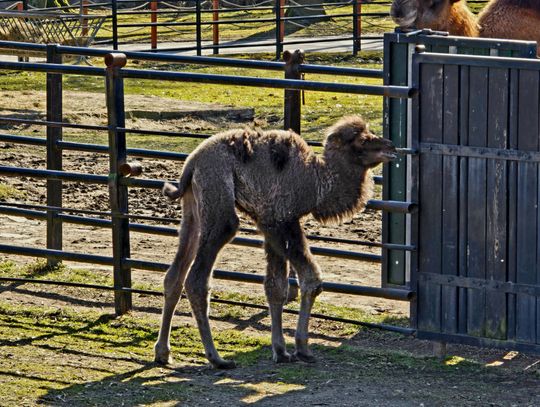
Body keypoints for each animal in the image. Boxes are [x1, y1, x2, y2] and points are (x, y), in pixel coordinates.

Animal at [154, 115, 394, 370]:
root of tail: (191, 164)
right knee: (198, 278)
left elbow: (276, 287)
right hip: (218, 195)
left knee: (175, 274)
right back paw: (216, 358)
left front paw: (280, 350)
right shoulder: (281, 220)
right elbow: (311, 280)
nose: (391, 147)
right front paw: (302, 348)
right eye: (362, 140)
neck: (316, 180)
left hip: (192, 208)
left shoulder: (269, 223)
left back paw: (163, 352)